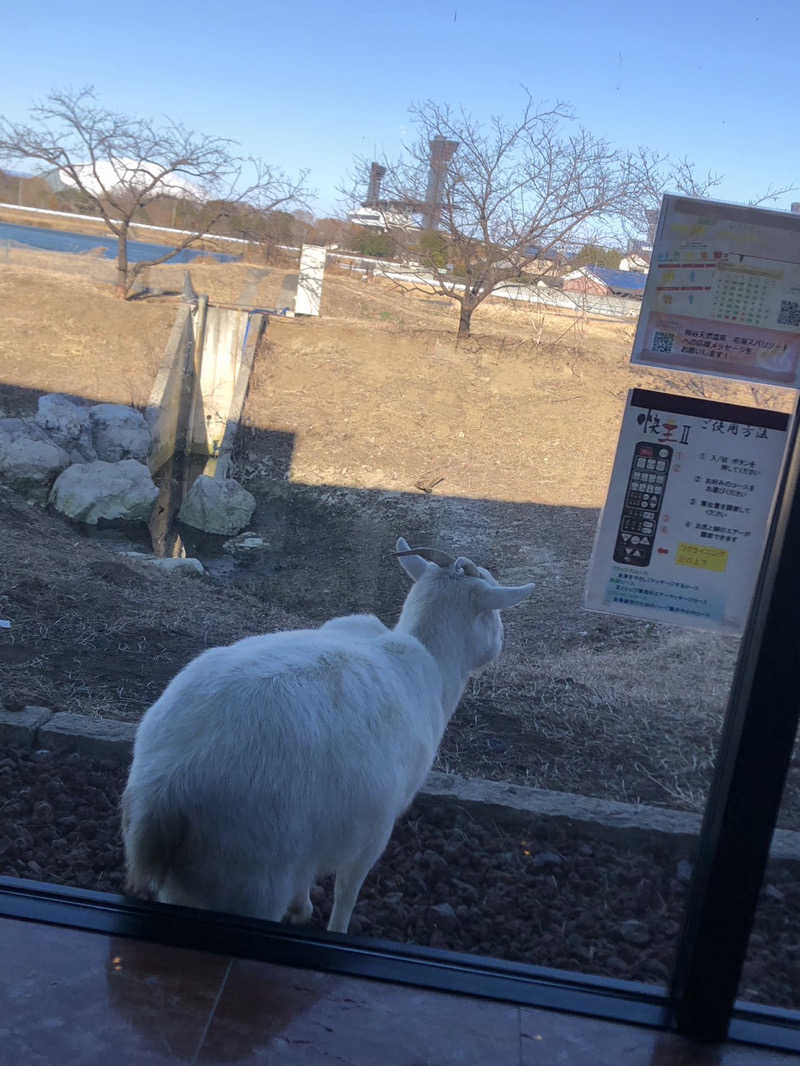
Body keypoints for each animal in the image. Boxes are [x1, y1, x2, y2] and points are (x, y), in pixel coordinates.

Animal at [122, 537, 535, 929]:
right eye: (493, 610)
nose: (500, 642)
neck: (432, 655)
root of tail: (165, 791)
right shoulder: (372, 831)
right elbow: (347, 891)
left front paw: (301, 908)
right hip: (246, 877)